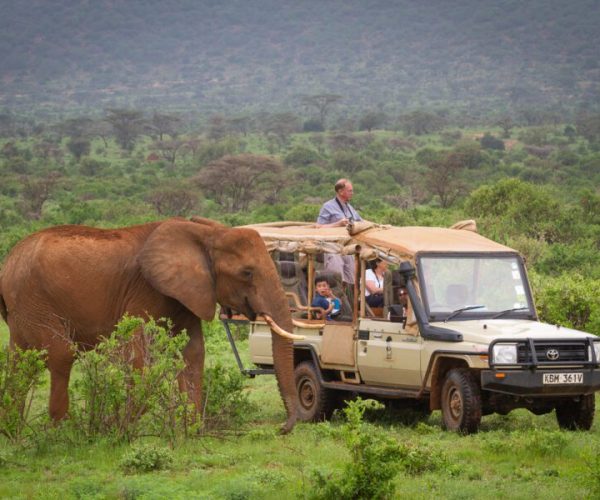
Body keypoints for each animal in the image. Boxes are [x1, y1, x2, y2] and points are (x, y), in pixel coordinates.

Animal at [0, 217, 298, 432]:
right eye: (246, 273)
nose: (282, 428)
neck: (205, 233)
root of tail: (8, 262)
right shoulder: (145, 290)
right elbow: (138, 353)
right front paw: (118, 427)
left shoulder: (187, 293)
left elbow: (193, 352)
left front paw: (191, 430)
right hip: (33, 299)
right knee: (61, 354)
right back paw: (62, 430)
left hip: (23, 308)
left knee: (19, 360)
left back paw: (15, 430)